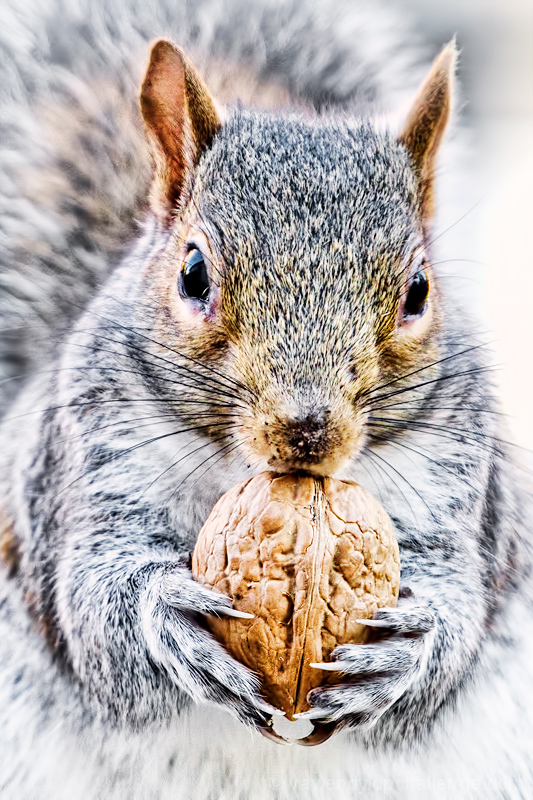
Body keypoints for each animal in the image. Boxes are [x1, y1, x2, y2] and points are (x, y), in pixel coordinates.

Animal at [1, 0, 532, 796]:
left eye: (418, 291)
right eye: (192, 273)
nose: (306, 429)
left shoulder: (457, 480)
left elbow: (455, 623)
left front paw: (414, 646)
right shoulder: (88, 459)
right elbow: (94, 616)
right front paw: (163, 617)